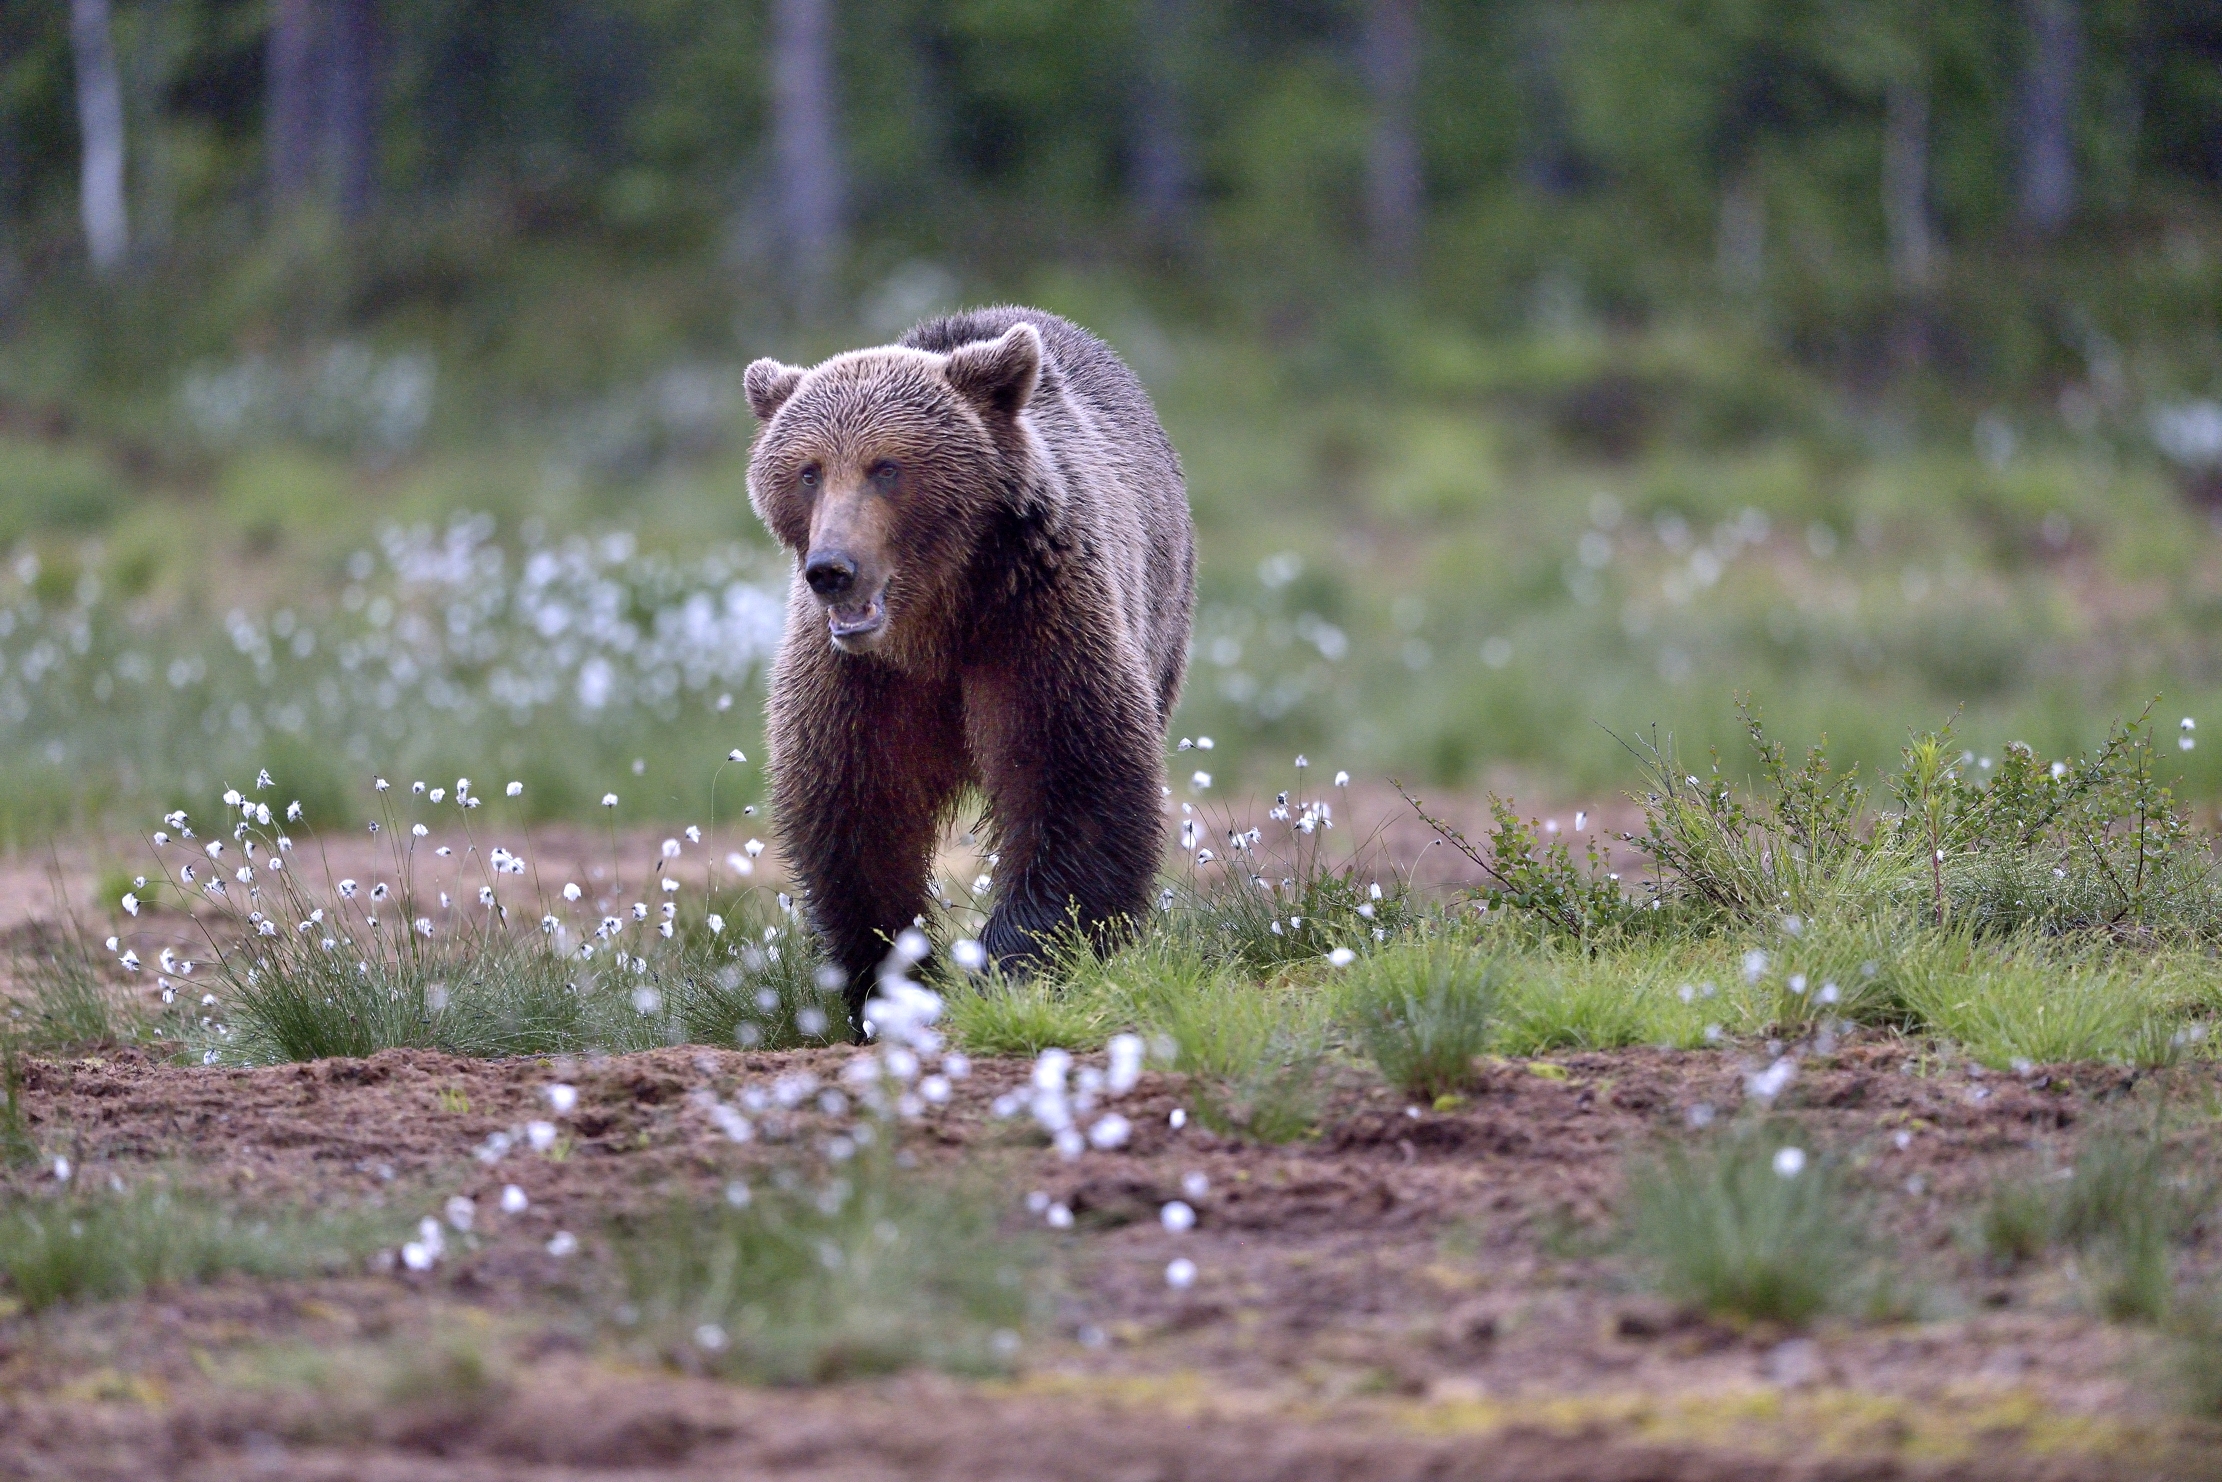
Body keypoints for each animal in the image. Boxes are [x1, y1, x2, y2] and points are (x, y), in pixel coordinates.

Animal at [743, 306, 1195, 1031]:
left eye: (886, 466)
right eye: (808, 471)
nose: (832, 569)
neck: (933, 623)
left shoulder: (1034, 626)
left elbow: (1075, 783)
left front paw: (1011, 964)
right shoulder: (858, 683)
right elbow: (857, 815)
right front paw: (894, 978)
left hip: (1162, 605)